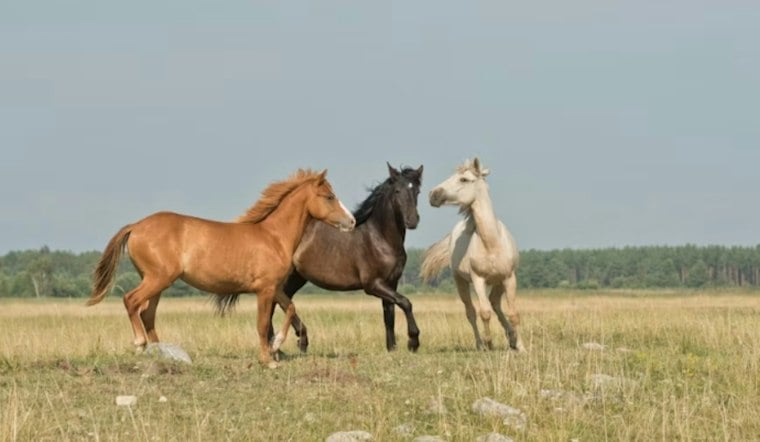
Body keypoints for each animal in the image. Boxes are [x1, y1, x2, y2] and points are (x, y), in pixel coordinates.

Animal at [86, 169, 356, 366]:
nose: (352, 221)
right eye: (329, 196)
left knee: (147, 313)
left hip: (157, 283)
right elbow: (262, 324)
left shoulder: (275, 288)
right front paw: (268, 360)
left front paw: (277, 345)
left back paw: (162, 353)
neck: (274, 237)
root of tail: (136, 226)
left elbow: (290, 309)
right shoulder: (264, 290)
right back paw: (140, 344)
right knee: (131, 301)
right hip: (157, 279)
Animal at [267, 163, 423, 353]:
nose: (412, 220)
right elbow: (405, 302)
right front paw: (413, 342)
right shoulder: (373, 285)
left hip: (296, 278)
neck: (379, 238)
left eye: (417, 191)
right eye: (397, 191)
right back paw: (286, 343)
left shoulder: (391, 283)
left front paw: (391, 349)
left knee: (280, 301)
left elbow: (389, 315)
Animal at [421, 158, 524, 351]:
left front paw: (521, 346)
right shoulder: (478, 280)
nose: (433, 194)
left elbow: (513, 313)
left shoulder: (509, 278)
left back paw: (511, 339)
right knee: (471, 312)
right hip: (461, 282)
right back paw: (480, 344)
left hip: (498, 282)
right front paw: (489, 343)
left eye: (464, 179)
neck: (491, 243)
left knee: (495, 303)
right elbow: (484, 312)